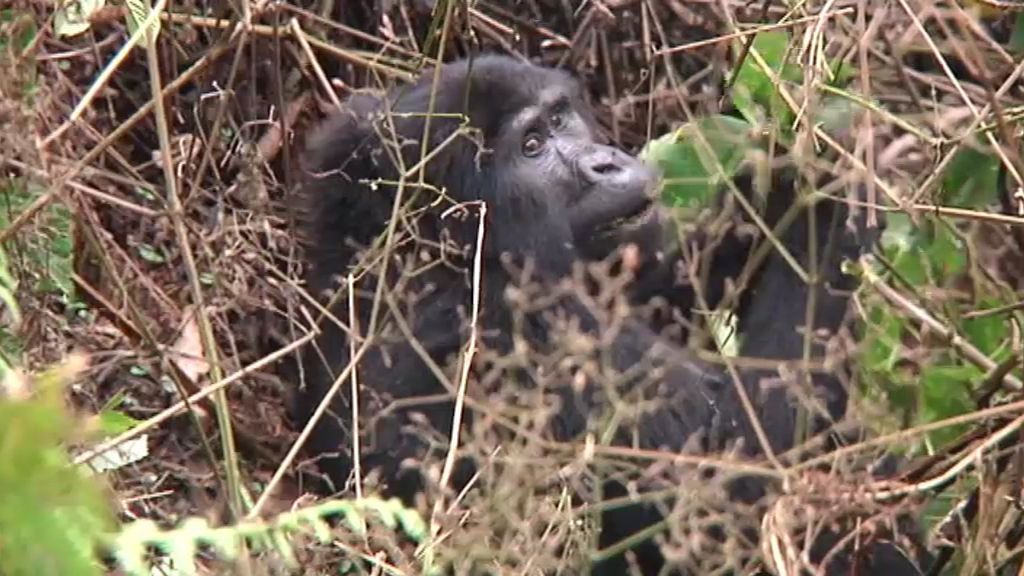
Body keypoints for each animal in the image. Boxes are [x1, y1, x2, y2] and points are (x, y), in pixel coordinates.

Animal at [290, 54, 929, 573]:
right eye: (530, 147)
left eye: (559, 119)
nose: (606, 163)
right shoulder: (514, 325)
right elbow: (739, 477)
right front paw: (831, 196)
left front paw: (771, 184)